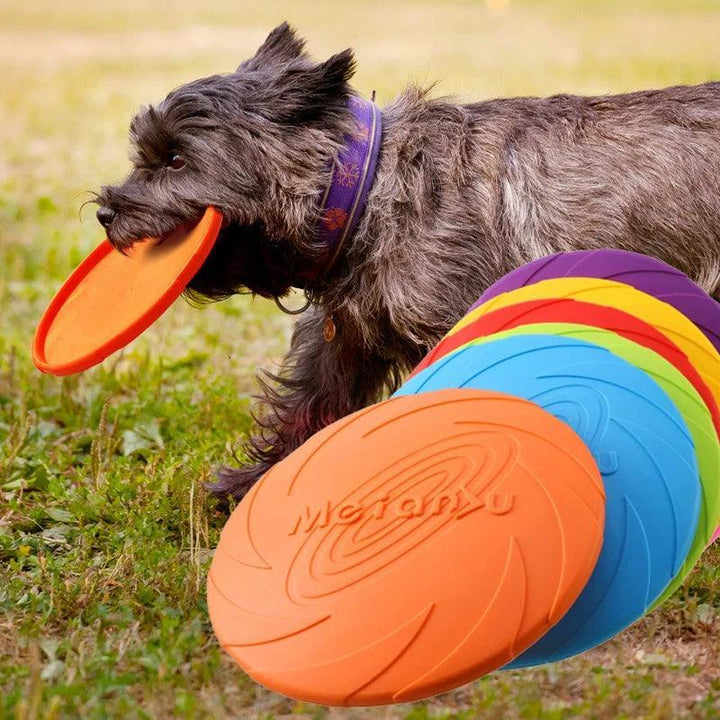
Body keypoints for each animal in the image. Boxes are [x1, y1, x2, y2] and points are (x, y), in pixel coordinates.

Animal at [93, 22, 720, 500]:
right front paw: (251, 488)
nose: (105, 211)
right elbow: (306, 409)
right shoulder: (342, 340)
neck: (367, 191)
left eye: (176, 159)